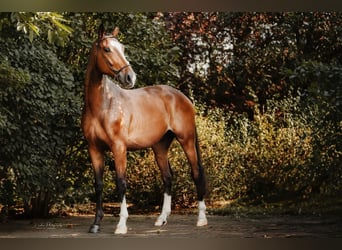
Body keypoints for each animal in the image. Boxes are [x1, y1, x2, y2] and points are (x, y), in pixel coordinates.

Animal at [81, 24, 207, 233]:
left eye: (122, 48)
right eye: (107, 49)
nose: (130, 77)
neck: (103, 104)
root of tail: (182, 97)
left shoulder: (119, 147)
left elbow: (121, 183)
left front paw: (121, 224)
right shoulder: (94, 149)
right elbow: (98, 184)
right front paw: (96, 224)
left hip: (187, 140)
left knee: (196, 173)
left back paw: (201, 219)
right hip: (160, 147)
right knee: (167, 177)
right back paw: (161, 219)